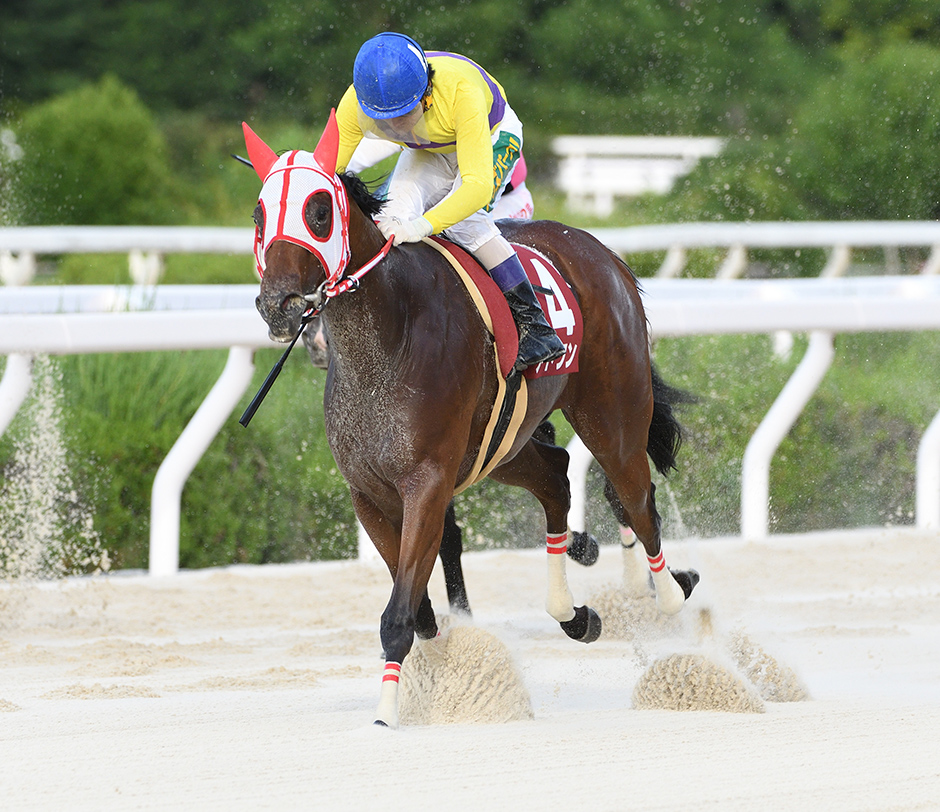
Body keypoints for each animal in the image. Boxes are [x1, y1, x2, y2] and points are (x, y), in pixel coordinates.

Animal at [242, 111, 696, 728]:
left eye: (318, 211)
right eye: (259, 214)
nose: (280, 306)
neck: (388, 333)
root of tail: (603, 253)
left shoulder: (427, 482)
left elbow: (401, 610)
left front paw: (387, 712)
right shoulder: (370, 492)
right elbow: (416, 605)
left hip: (613, 415)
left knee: (636, 498)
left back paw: (671, 591)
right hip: (502, 445)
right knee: (556, 474)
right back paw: (573, 613)